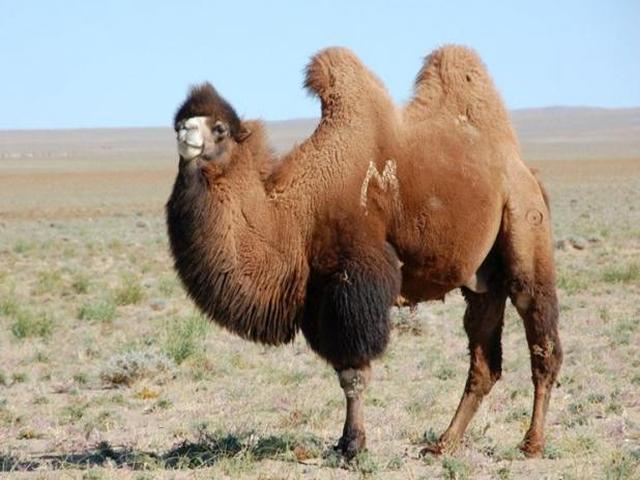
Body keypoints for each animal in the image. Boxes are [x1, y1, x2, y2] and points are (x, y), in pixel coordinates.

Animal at [166, 45, 562, 459]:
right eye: (179, 120)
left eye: (219, 128)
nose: (184, 132)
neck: (298, 215)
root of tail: (524, 169)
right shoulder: (320, 296)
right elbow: (343, 369)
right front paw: (345, 441)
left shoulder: (355, 281)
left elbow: (354, 373)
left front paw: (354, 445)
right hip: (482, 281)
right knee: (484, 362)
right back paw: (444, 443)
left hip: (525, 224)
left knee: (541, 340)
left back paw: (532, 443)